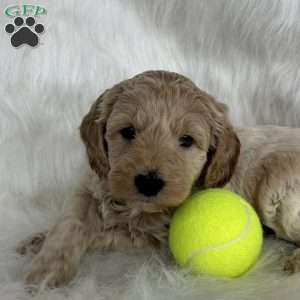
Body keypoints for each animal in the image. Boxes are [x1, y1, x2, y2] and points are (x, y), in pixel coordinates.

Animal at [18, 70, 300, 288]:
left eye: (187, 140)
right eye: (128, 131)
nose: (149, 182)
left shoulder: (156, 236)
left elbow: (104, 233)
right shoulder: (92, 185)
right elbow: (70, 223)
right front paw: (45, 263)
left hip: (275, 191)